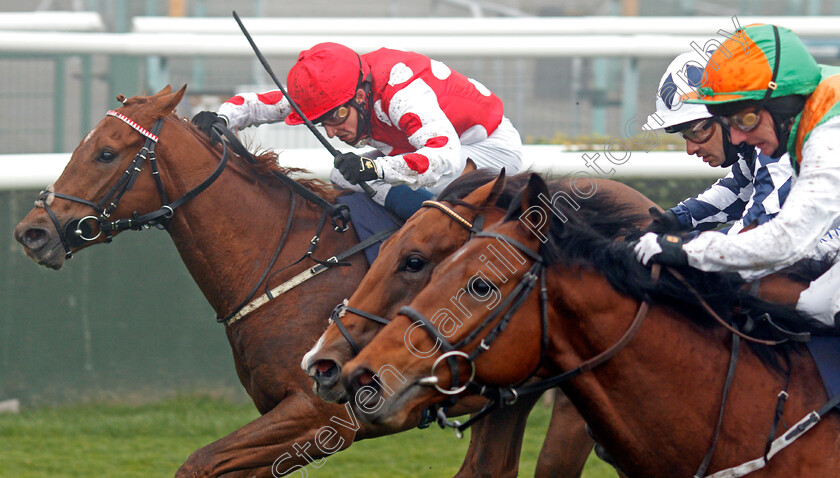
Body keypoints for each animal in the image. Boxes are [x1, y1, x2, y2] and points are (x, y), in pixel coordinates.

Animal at [13, 87, 592, 478]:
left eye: (107, 152)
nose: (33, 232)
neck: (286, 262)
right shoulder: (281, 418)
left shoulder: (321, 415)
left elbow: (198, 463)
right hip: (510, 398)